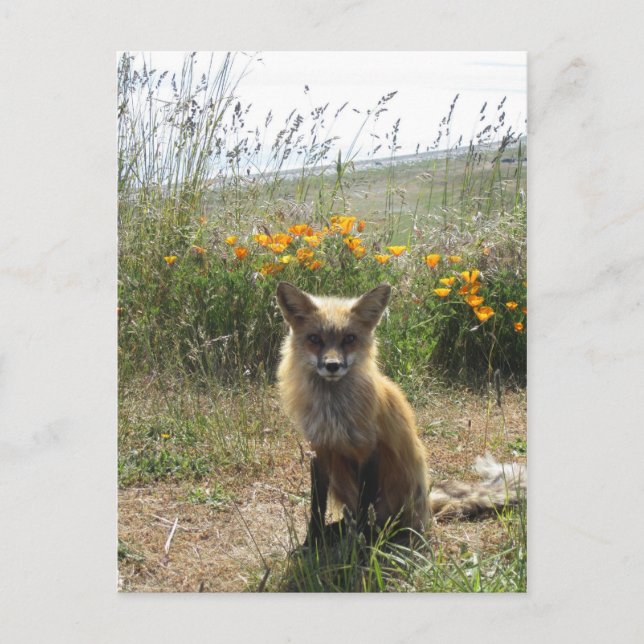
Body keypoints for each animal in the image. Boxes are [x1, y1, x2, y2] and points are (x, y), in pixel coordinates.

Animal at [276, 281, 526, 543]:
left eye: (349, 339)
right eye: (314, 339)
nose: (332, 366)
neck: (333, 412)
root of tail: (426, 504)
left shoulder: (370, 451)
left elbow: (365, 508)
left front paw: (362, 546)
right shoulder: (319, 450)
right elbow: (317, 506)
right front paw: (312, 542)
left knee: (385, 521)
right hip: (341, 473)